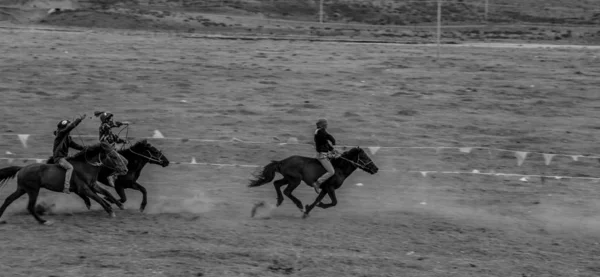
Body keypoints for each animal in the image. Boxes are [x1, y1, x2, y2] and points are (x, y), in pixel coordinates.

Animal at [246, 146, 378, 219]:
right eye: (365, 157)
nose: (376, 169)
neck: (339, 168)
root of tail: (282, 161)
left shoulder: (324, 189)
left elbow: (316, 201)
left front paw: (307, 211)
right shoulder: (330, 188)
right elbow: (334, 202)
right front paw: (315, 207)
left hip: (288, 179)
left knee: (277, 184)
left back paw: (280, 201)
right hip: (295, 180)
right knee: (287, 191)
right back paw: (298, 204)